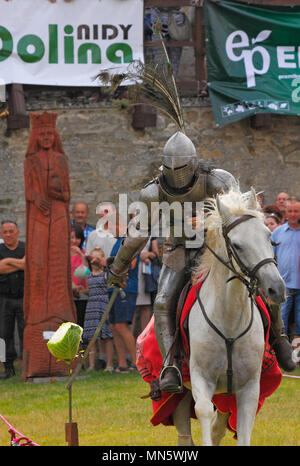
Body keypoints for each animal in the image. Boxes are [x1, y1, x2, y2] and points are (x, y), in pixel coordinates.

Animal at [172, 187, 284, 446]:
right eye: (237, 245)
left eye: (268, 236)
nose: (277, 288)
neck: (229, 321)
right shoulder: (201, 378)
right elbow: (203, 411)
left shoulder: (249, 388)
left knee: (219, 424)